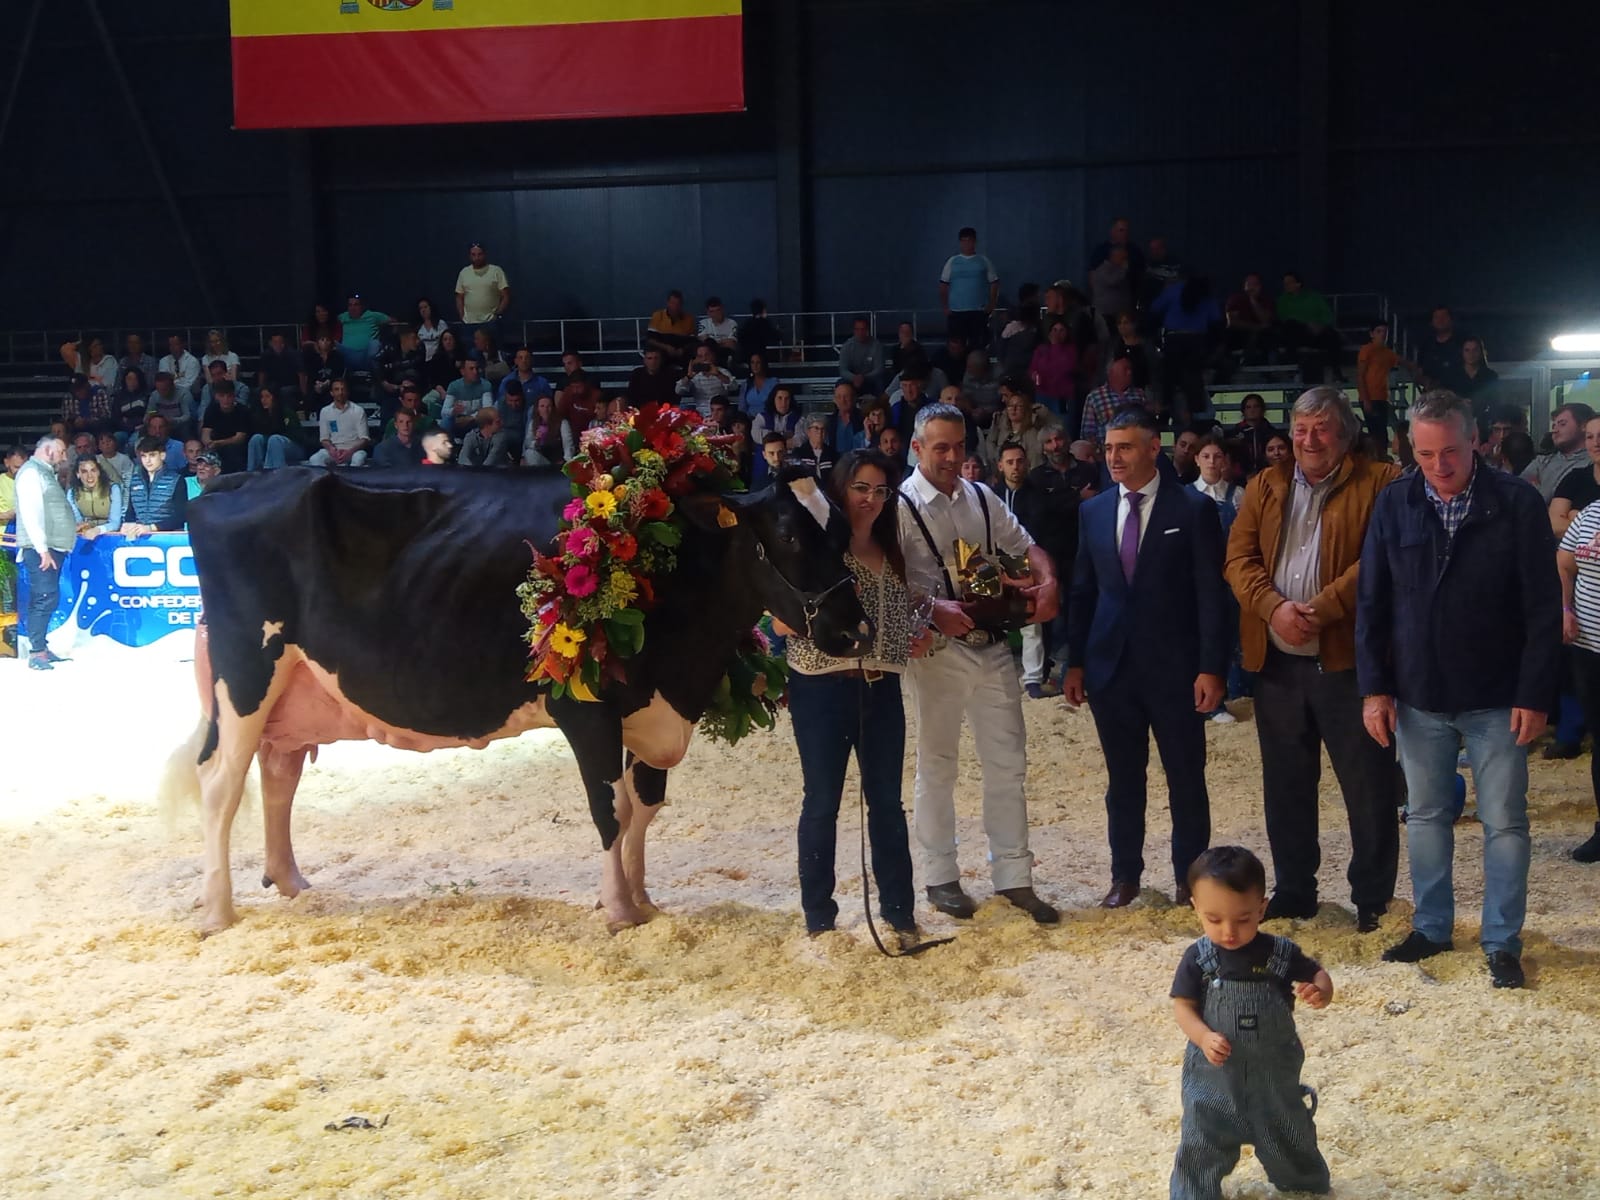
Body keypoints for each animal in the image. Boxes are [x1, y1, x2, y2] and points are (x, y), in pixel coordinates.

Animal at [180, 464, 870, 934]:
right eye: (787, 536)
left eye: (843, 528)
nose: (855, 631)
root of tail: (231, 483)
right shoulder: (586, 710)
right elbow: (610, 809)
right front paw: (618, 910)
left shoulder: (653, 709)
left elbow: (644, 805)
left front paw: (643, 899)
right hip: (246, 673)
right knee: (219, 782)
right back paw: (218, 911)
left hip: (292, 688)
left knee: (279, 772)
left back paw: (291, 881)